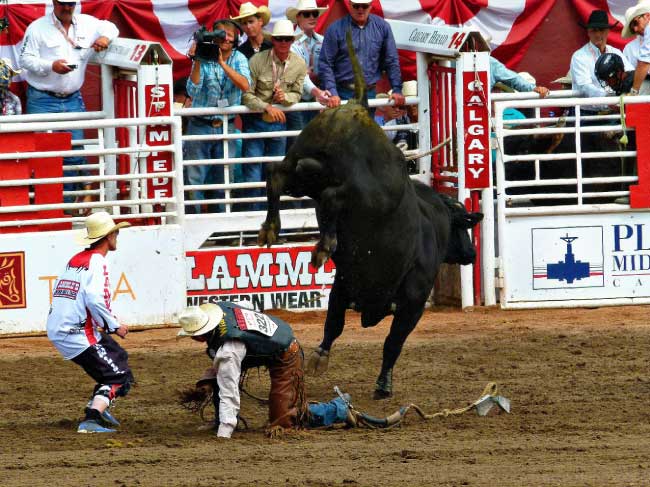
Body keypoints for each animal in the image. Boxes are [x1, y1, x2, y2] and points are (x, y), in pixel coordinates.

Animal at [256, 101, 480, 398]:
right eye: (462, 226)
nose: (472, 253)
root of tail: (354, 110)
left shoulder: (342, 284)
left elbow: (334, 323)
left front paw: (320, 356)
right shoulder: (413, 303)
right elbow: (392, 342)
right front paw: (383, 384)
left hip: (303, 169)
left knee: (276, 174)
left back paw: (273, 228)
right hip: (363, 193)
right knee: (331, 196)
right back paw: (324, 244)